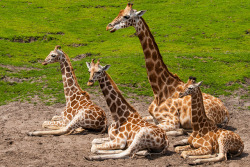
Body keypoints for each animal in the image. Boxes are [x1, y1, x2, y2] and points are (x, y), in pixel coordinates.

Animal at [105, 2, 229, 136]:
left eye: (126, 16)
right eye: (119, 12)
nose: (108, 26)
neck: (159, 91)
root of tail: (226, 112)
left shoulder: (172, 120)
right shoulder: (152, 116)